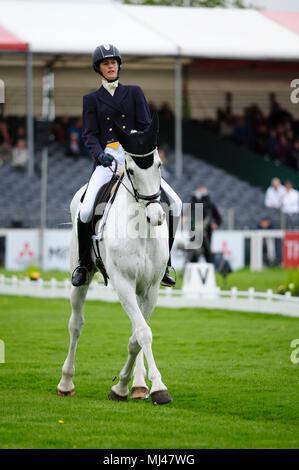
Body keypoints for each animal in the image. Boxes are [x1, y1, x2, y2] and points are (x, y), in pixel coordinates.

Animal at [57, 114, 173, 404]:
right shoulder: (123, 283)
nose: (156, 216)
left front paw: (126, 386)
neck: (141, 229)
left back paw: (138, 385)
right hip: (83, 278)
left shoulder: (150, 289)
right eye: (131, 171)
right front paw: (158, 388)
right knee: (76, 325)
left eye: (159, 165)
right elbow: (143, 332)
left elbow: (137, 336)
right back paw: (66, 382)